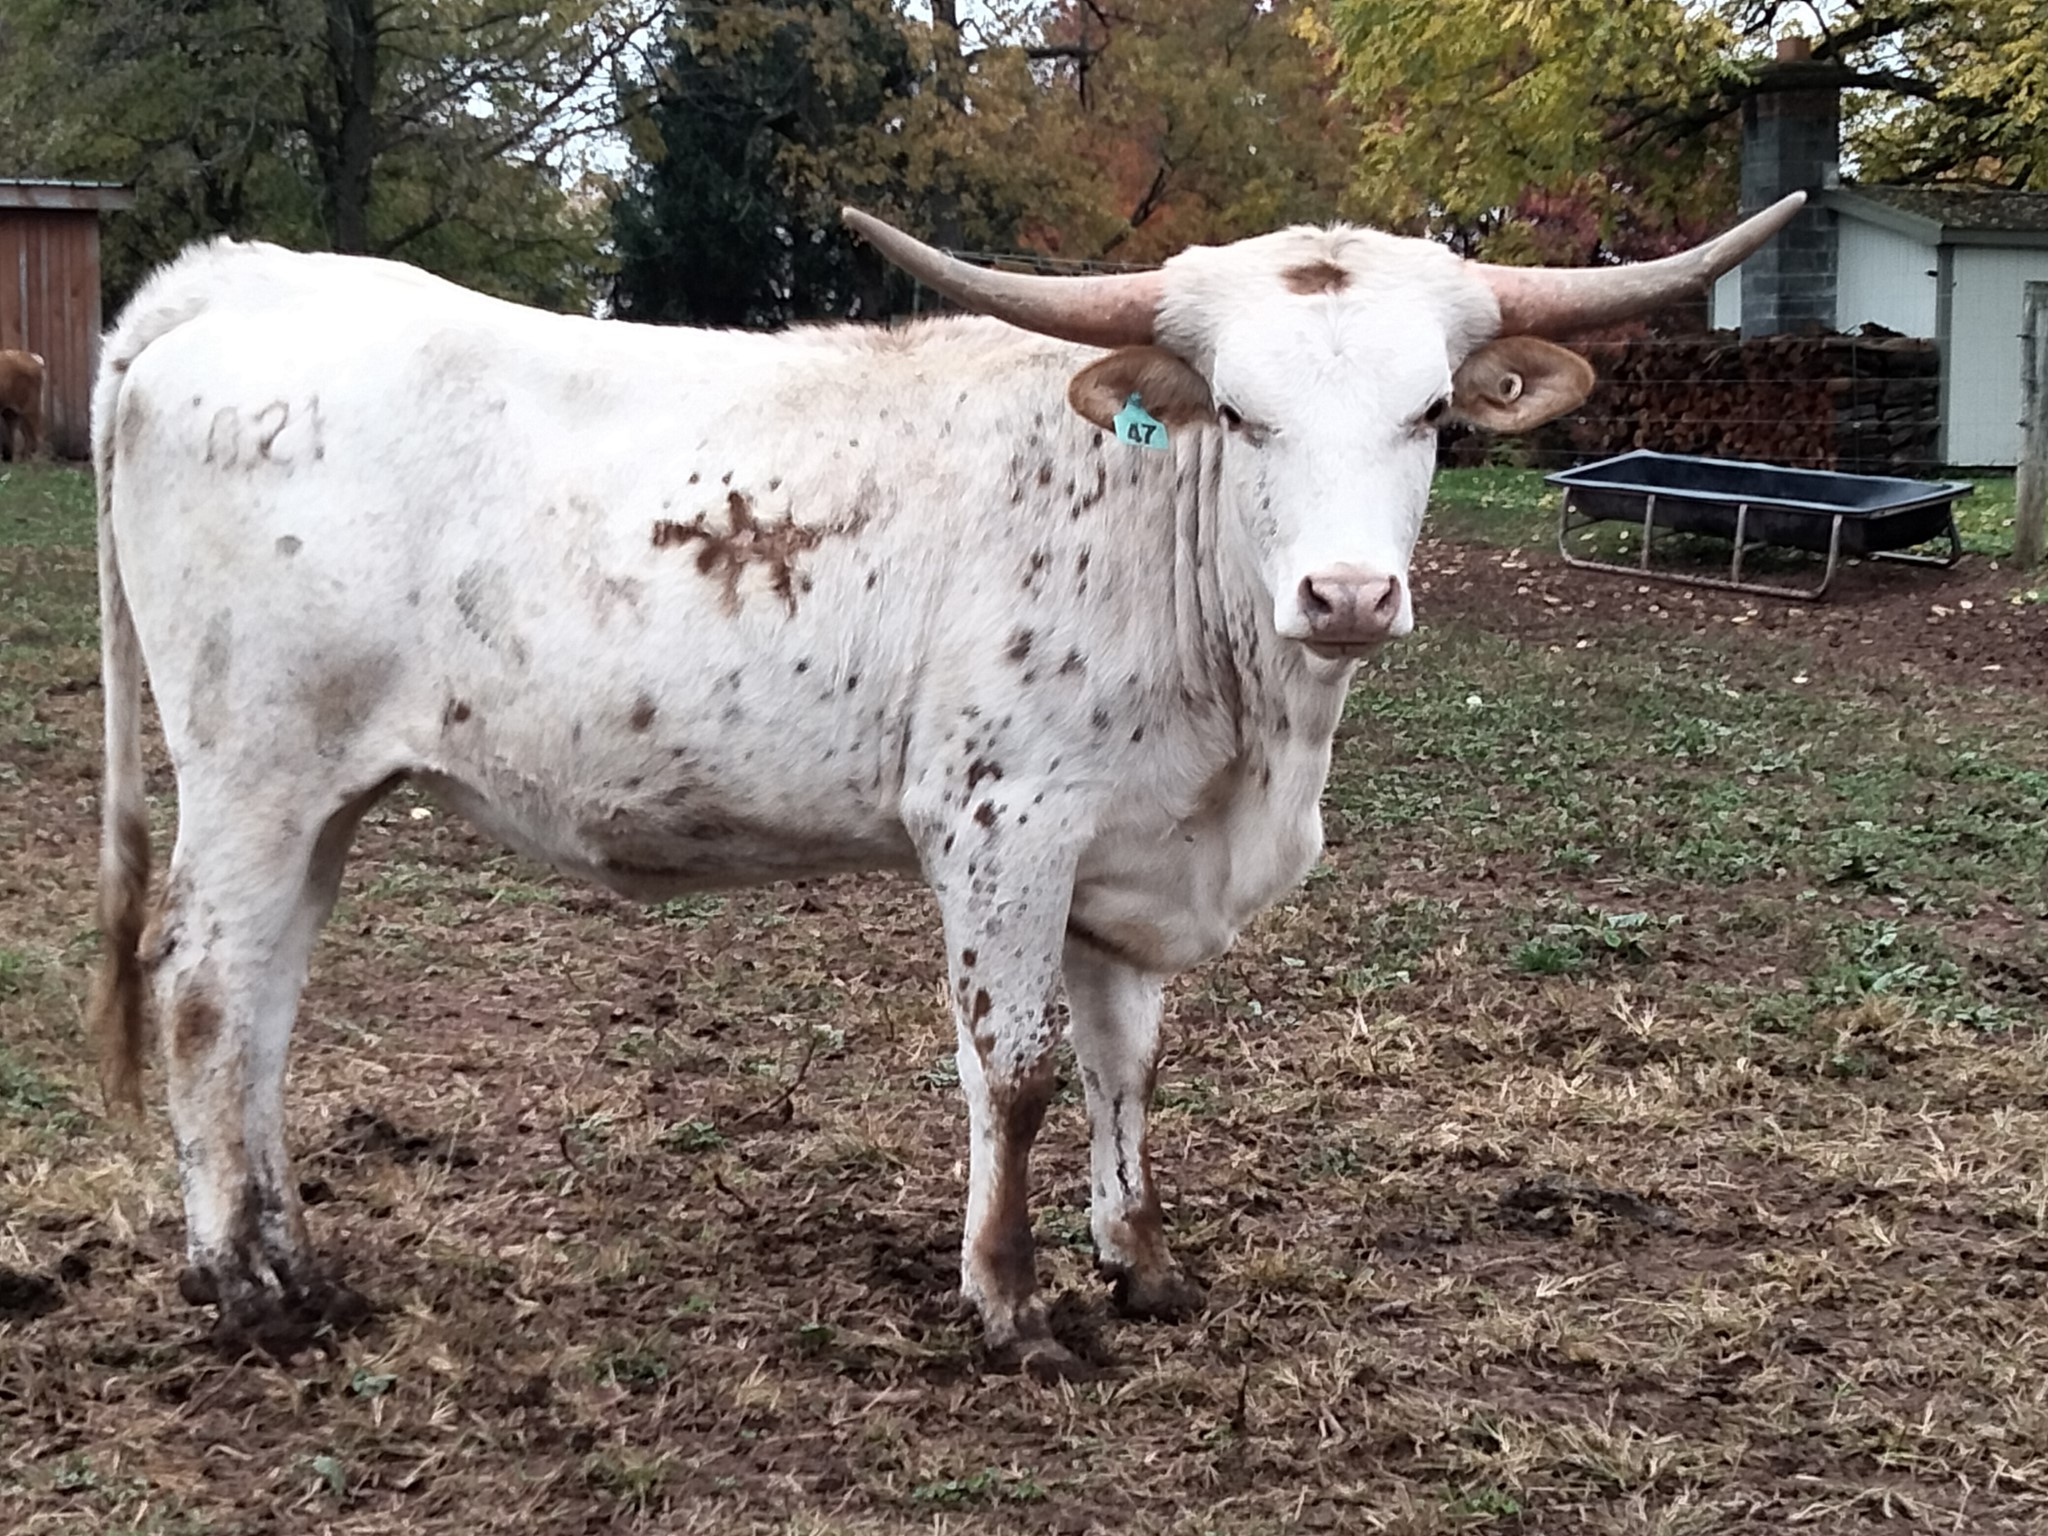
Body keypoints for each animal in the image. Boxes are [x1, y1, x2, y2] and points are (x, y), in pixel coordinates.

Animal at [87, 194, 1802, 1375]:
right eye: (1243, 415)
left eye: (1433, 412)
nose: (1348, 595)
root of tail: (233, 283)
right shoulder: (1001, 821)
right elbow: (1019, 1068)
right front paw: (1013, 1303)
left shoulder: (1123, 851)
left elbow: (1126, 1067)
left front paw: (1142, 1262)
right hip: (252, 769)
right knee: (205, 992)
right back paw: (241, 1288)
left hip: (321, 798)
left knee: (269, 1007)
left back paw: (290, 1256)